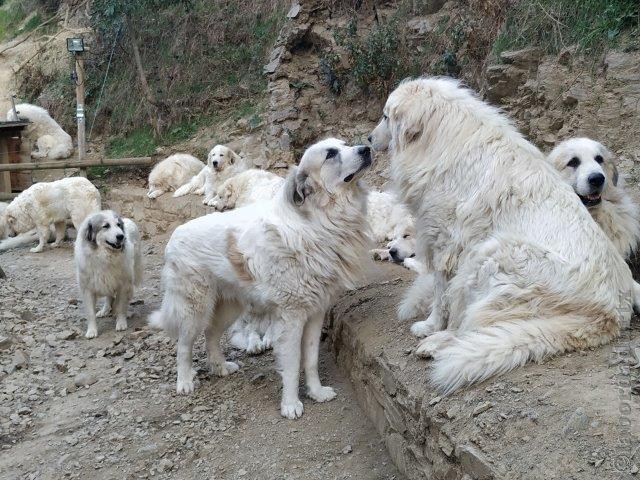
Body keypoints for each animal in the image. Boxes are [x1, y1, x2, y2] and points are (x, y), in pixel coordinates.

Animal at [74, 212, 142, 340]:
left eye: (118, 225)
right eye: (106, 226)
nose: (121, 236)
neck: (104, 257)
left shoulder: (123, 285)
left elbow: (121, 307)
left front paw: (121, 323)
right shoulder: (87, 289)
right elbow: (90, 313)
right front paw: (91, 331)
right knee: (109, 296)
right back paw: (105, 310)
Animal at [148, 137, 372, 418]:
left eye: (345, 144)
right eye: (331, 154)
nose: (367, 148)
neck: (319, 222)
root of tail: (174, 236)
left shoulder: (315, 313)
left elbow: (310, 360)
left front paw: (317, 393)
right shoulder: (291, 317)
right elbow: (292, 365)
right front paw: (290, 404)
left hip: (228, 307)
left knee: (211, 335)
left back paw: (220, 368)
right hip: (194, 310)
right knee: (183, 346)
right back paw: (185, 381)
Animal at [368, 78, 636, 394]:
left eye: (386, 116)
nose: (369, 139)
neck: (440, 138)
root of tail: (612, 314)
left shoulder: (445, 240)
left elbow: (441, 294)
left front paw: (431, 325)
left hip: (494, 254)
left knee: (469, 326)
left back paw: (435, 343)